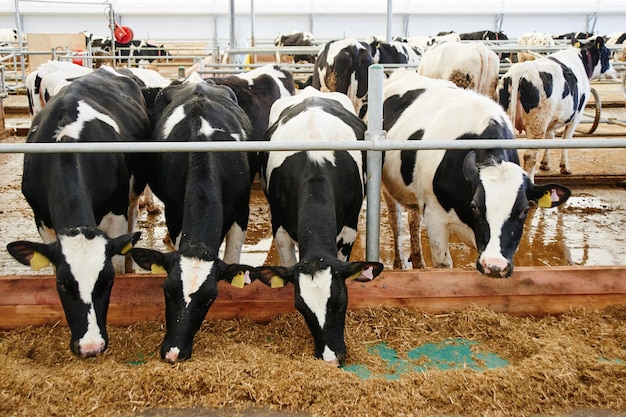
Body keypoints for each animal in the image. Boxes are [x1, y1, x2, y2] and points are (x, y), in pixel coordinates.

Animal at [6, 66, 150, 358]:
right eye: (62, 283)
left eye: (106, 281)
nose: (90, 347)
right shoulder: (42, 221)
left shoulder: (116, 213)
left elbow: (118, 258)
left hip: (131, 194)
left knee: (133, 218)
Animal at [130, 77, 260, 360]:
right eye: (167, 290)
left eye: (210, 298)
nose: (173, 352)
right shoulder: (174, 209)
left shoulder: (241, 208)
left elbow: (232, 257)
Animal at [378, 69, 568, 276]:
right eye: (475, 206)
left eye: (524, 210)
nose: (495, 265)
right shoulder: (435, 218)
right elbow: (443, 265)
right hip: (388, 189)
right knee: (396, 222)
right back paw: (400, 263)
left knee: (413, 220)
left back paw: (419, 261)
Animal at [494, 36, 616, 179]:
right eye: (608, 54)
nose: (615, 73)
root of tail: (520, 70)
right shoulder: (577, 116)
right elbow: (566, 139)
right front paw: (565, 167)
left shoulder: (550, 120)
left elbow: (550, 138)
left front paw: (545, 163)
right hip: (537, 125)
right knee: (530, 156)